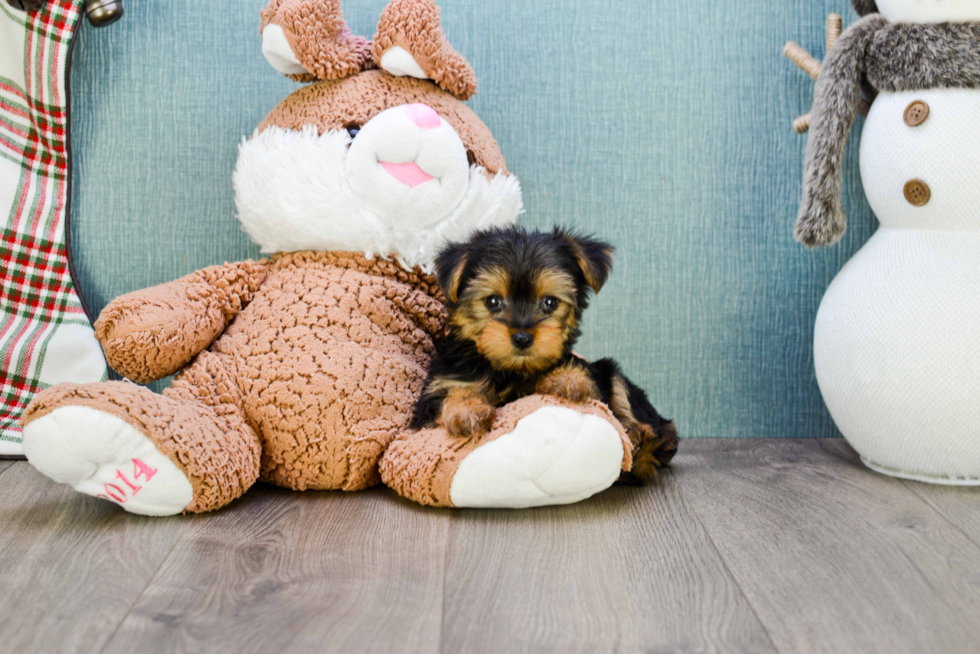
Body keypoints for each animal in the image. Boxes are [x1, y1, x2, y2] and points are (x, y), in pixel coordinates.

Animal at [410, 228, 676, 484]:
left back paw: (636, 435)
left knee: (646, 418)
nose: (522, 338)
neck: (509, 371)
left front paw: (567, 379)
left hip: (612, 372)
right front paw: (467, 410)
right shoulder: (435, 393)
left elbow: (583, 379)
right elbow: (450, 395)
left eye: (550, 302)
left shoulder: (592, 376)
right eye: (492, 301)